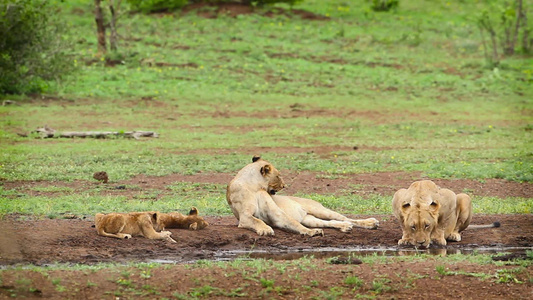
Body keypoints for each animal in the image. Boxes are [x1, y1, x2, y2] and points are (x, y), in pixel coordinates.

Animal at [227, 156, 380, 236]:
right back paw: (345, 227)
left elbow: (293, 223)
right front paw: (265, 229)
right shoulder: (245, 216)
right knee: (330, 222)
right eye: (278, 176)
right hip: (310, 219)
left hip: (320, 210)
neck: (256, 187)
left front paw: (311, 232)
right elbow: (257, 221)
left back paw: (370, 223)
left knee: (346, 218)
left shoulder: (277, 214)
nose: (285, 185)